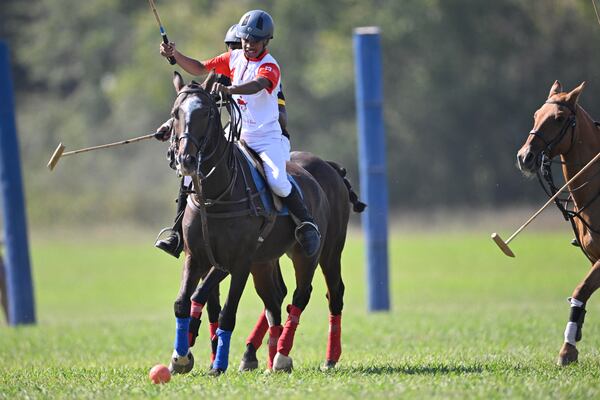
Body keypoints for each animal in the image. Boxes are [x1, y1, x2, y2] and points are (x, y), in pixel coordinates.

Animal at [164, 72, 360, 376]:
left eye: (207, 113)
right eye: (176, 113)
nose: (185, 159)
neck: (216, 195)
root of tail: (331, 168)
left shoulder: (240, 261)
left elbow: (226, 312)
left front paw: (217, 364)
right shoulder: (198, 257)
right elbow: (186, 301)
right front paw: (181, 356)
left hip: (321, 251)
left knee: (315, 294)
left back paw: (300, 356)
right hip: (265, 261)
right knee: (275, 298)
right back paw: (265, 355)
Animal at [516, 80, 600, 366]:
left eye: (560, 118)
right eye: (535, 115)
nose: (525, 157)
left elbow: (580, 289)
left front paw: (567, 351)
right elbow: (581, 292)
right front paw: (568, 350)